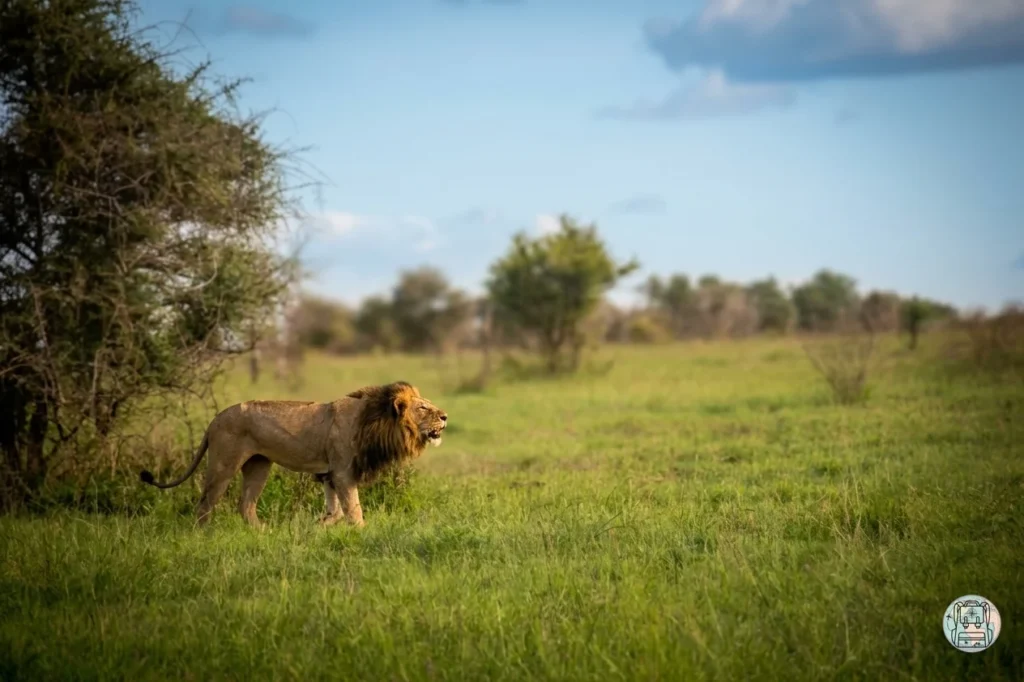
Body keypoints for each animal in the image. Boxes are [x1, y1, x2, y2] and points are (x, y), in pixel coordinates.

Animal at [139, 381, 447, 528]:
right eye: (422, 408)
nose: (445, 416)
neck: (376, 421)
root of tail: (215, 418)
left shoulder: (329, 475)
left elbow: (336, 510)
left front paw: (320, 525)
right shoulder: (342, 471)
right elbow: (354, 509)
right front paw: (361, 531)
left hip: (259, 465)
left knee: (245, 505)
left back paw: (263, 533)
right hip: (224, 463)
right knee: (205, 503)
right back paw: (203, 533)